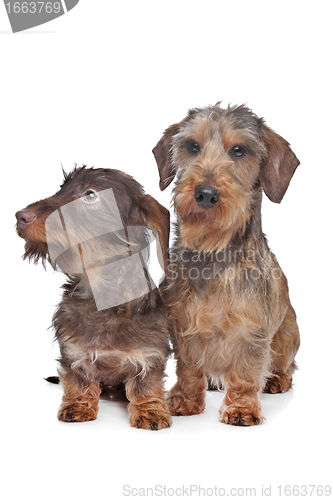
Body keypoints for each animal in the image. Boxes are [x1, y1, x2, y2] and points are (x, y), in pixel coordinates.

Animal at [15, 167, 171, 430]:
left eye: (90, 195)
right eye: (62, 188)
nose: (20, 216)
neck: (102, 294)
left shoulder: (150, 352)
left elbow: (145, 384)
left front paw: (150, 410)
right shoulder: (74, 351)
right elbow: (79, 379)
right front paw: (78, 405)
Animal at [153, 104, 300, 426]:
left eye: (239, 150)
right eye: (192, 146)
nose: (205, 194)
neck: (212, 251)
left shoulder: (252, 330)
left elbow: (245, 373)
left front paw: (242, 408)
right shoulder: (182, 324)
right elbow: (189, 368)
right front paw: (185, 400)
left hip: (287, 334)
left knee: (285, 365)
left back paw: (277, 380)